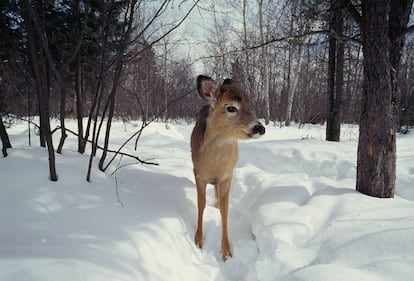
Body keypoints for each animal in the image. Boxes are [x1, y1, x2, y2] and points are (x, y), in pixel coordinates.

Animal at [191, 75, 266, 260]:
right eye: (231, 107)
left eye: (251, 106)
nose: (260, 127)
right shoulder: (198, 173)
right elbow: (201, 204)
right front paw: (198, 240)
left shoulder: (227, 176)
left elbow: (225, 210)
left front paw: (226, 252)